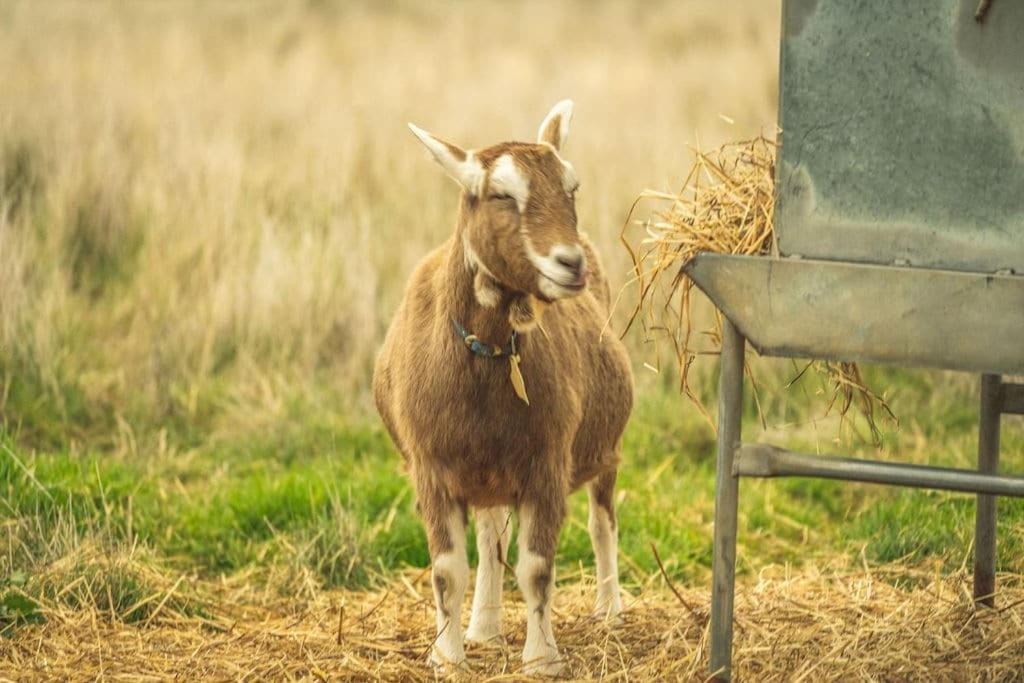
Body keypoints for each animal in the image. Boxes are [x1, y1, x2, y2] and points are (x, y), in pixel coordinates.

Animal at [373, 101, 633, 675]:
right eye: (501, 196)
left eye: (572, 188)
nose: (570, 263)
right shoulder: (432, 466)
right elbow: (449, 571)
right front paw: (448, 657)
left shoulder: (547, 461)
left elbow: (536, 568)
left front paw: (542, 659)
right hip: (487, 466)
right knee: (492, 534)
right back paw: (484, 628)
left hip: (604, 444)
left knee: (602, 520)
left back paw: (609, 608)